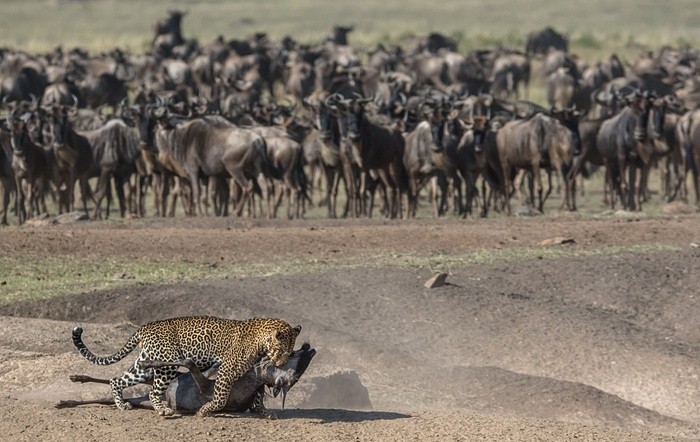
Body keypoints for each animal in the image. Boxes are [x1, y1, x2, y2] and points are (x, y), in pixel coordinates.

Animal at [73, 316, 300, 416]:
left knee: (116, 380)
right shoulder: (227, 370)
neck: (261, 340)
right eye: (281, 351)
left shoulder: (254, 371)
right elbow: (220, 397)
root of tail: (145, 327)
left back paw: (122, 405)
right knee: (153, 392)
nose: (281, 363)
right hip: (166, 367)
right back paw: (162, 410)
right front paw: (206, 410)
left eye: (289, 353)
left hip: (145, 366)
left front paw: (262, 410)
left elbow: (259, 391)